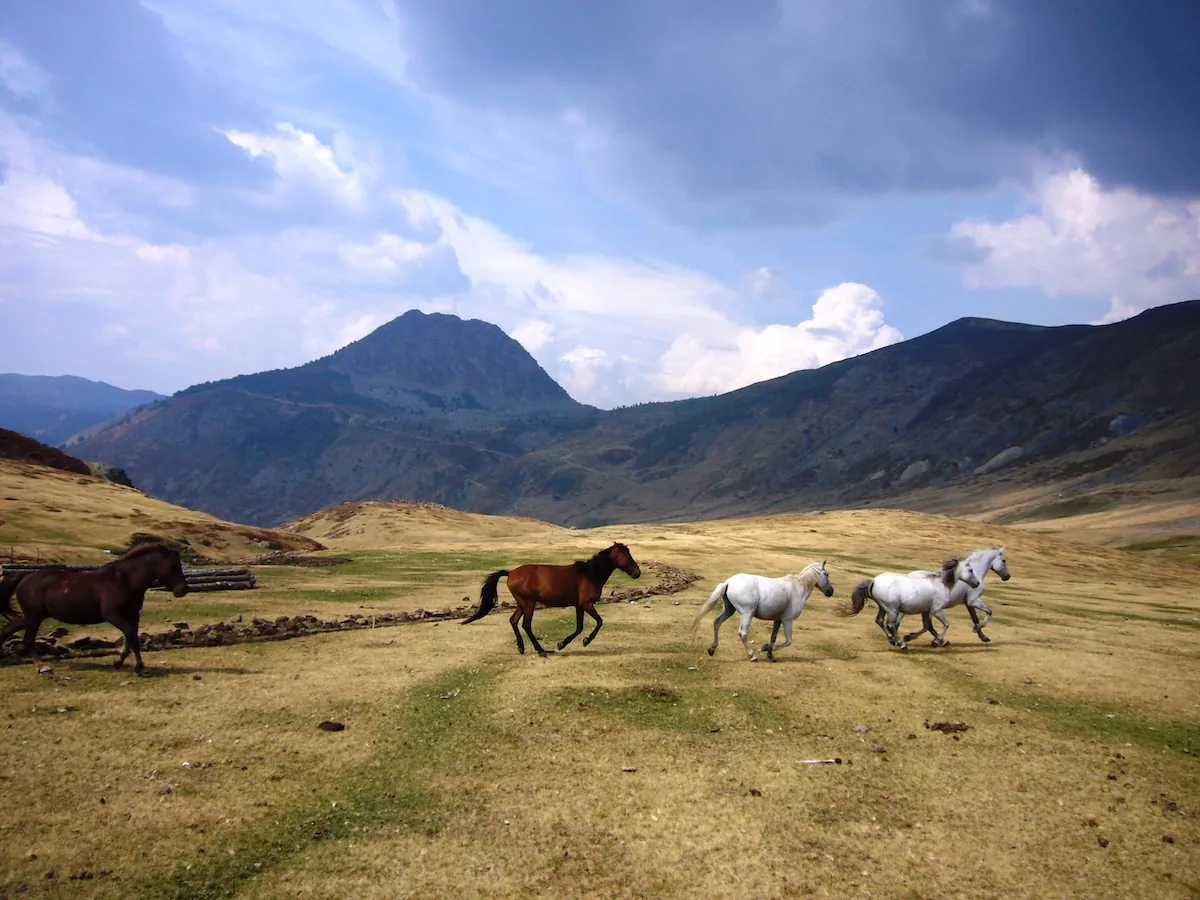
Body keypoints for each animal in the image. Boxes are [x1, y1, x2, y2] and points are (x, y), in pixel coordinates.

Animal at [0, 543, 189, 675]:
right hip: (34, 616)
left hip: (30, 616)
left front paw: (118, 661)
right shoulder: (113, 615)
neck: (125, 580)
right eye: (172, 566)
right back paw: (42, 667)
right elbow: (131, 636)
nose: (182, 590)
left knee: (7, 630)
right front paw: (140, 668)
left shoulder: (133, 615)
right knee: (28, 640)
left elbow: (131, 637)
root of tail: (25, 577)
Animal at [462, 543, 641, 656]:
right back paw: (541, 650)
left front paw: (562, 643)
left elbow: (579, 627)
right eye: (627, 555)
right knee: (526, 625)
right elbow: (599, 622)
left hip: (522, 603)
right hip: (529, 603)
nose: (637, 573)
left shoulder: (579, 606)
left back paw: (521, 647)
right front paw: (585, 641)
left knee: (513, 621)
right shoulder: (586, 604)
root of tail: (511, 573)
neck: (590, 575)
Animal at [691, 561, 834, 662]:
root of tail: (729, 582)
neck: (798, 588)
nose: (831, 591)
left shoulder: (778, 620)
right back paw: (752, 656)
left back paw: (712, 649)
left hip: (729, 610)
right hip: (747, 614)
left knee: (716, 622)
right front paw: (766, 648)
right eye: (827, 574)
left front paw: (771, 656)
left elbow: (773, 637)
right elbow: (788, 641)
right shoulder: (788, 620)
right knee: (742, 633)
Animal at [836, 558, 979, 650]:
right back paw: (901, 644)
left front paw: (911, 637)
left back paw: (892, 640)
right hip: (892, 609)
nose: (977, 583)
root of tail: (874, 581)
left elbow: (927, 626)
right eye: (971, 570)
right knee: (890, 624)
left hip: (883, 607)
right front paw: (936, 641)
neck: (941, 584)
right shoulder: (936, 610)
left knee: (880, 621)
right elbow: (946, 624)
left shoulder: (926, 611)